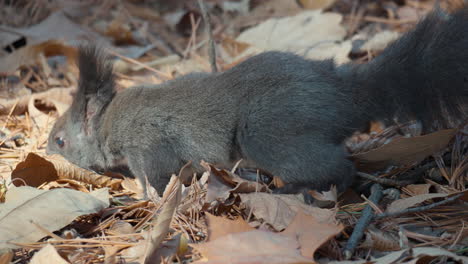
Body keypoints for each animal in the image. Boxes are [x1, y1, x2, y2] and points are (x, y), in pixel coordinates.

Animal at [47, 6, 468, 197]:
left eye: (60, 140)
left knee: (337, 169)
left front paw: (150, 198)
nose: (45, 150)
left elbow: (158, 175)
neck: (108, 123)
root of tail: (342, 93)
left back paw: (291, 188)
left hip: (269, 132)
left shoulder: (147, 144)